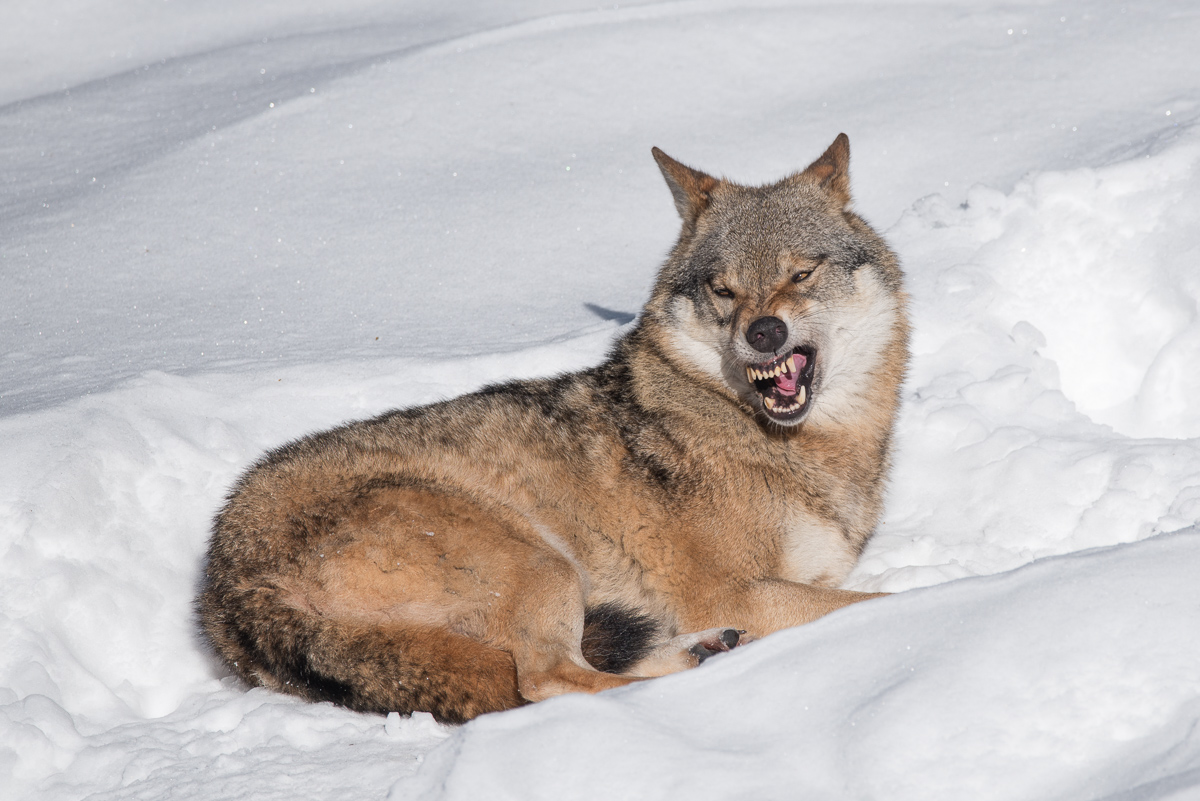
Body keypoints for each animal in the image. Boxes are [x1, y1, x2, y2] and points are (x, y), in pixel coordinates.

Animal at [198, 134, 909, 723]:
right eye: (724, 290)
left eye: (801, 272)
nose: (764, 332)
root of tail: (228, 579)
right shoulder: (733, 592)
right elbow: (875, 603)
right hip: (543, 559)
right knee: (546, 681)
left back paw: (703, 652)